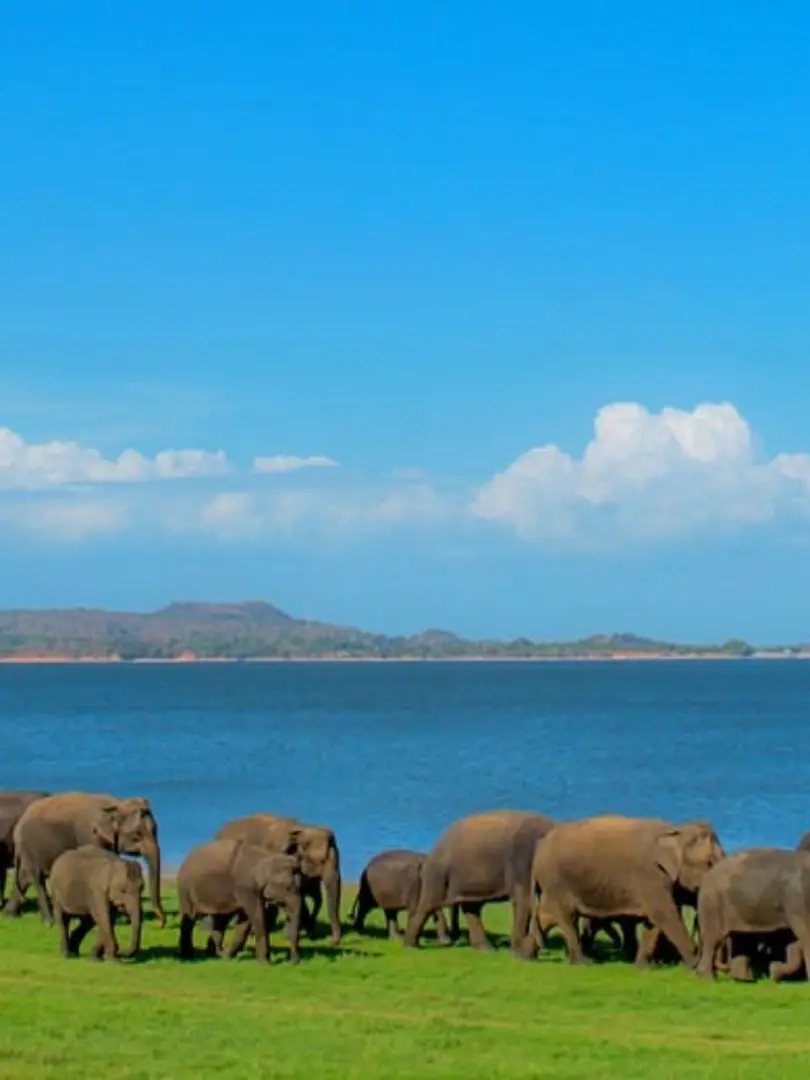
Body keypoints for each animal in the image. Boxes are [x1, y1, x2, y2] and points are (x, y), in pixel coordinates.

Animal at [6, 792, 164, 927]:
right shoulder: (89, 835)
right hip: (30, 848)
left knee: (24, 878)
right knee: (37, 879)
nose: (160, 924)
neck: (116, 803)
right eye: (136, 836)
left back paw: (9, 915)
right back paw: (49, 923)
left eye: (156, 830)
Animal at [403, 809, 556, 952]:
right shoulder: (521, 861)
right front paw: (518, 949)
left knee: (471, 907)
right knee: (429, 904)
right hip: (438, 874)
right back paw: (411, 946)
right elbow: (524, 900)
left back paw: (485, 949)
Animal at [529, 815, 724, 967]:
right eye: (709, 863)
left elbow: (653, 921)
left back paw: (526, 955)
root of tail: (541, 848)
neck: (676, 829)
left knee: (548, 916)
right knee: (567, 917)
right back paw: (583, 962)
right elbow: (664, 916)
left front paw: (641, 968)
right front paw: (694, 966)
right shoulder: (650, 875)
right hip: (557, 880)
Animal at [696, 847, 810, 982]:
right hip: (712, 902)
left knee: (740, 937)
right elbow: (804, 933)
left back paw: (743, 979)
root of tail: (706, 876)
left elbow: (793, 940)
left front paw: (774, 971)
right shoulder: (797, 897)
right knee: (714, 938)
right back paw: (708, 979)